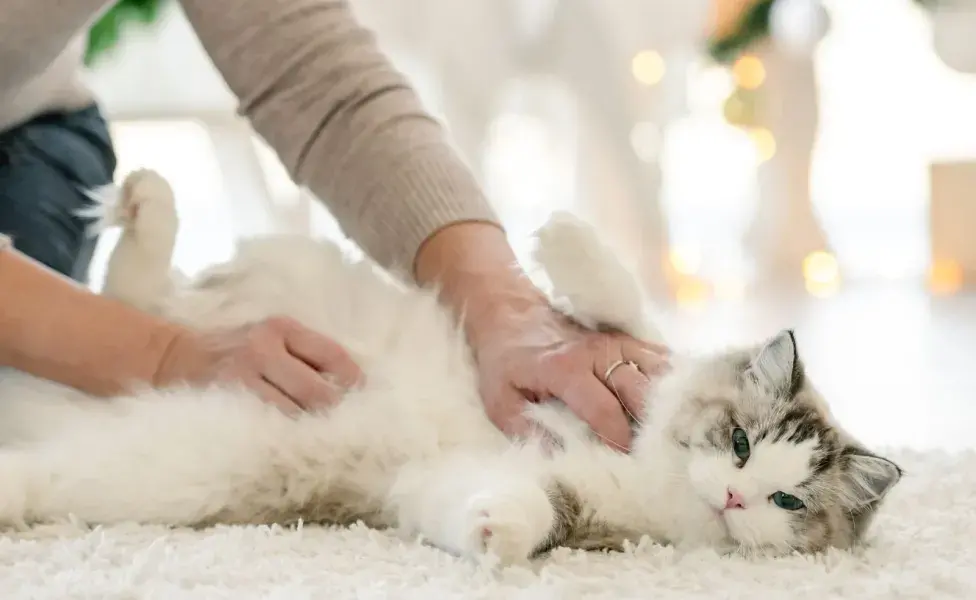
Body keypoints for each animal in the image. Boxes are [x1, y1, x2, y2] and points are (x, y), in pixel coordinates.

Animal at [0, 170, 900, 568]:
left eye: (786, 502)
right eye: (740, 444)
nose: (737, 496)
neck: (653, 473)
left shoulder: (553, 498)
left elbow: (526, 510)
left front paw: (495, 535)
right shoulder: (629, 357)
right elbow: (620, 300)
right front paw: (564, 233)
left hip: (158, 465)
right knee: (136, 290)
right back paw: (147, 197)